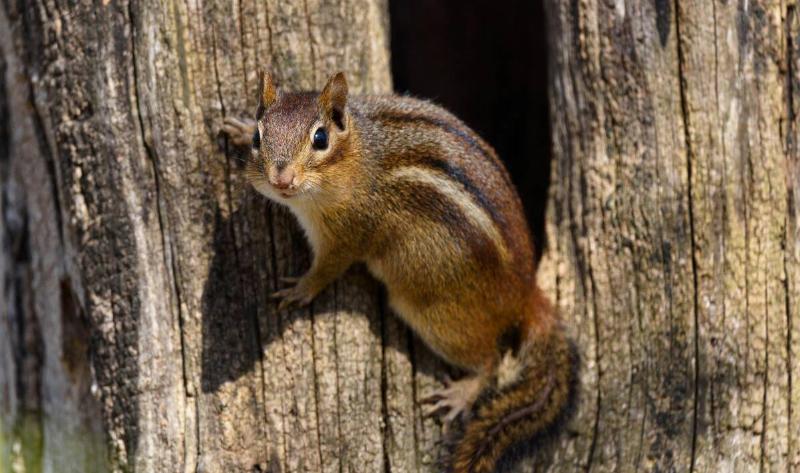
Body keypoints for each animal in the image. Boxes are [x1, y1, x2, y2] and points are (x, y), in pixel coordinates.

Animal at [221, 71, 578, 473]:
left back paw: (461, 393)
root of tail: (525, 291)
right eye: (259, 138)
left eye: (320, 138)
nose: (281, 180)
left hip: (440, 318)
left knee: (491, 361)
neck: (358, 155)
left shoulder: (349, 233)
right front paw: (237, 127)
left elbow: (329, 268)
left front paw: (299, 289)